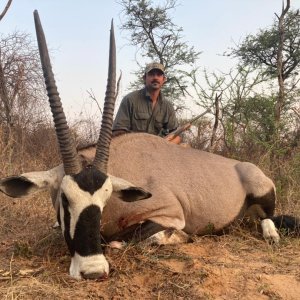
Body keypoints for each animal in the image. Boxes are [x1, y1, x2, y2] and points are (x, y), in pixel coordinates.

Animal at [0, 10, 298, 280]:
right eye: (64, 198)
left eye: (106, 197)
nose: (93, 270)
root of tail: (244, 166)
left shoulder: (170, 214)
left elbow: (135, 240)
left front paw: (179, 238)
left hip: (262, 194)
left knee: (267, 218)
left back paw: (271, 235)